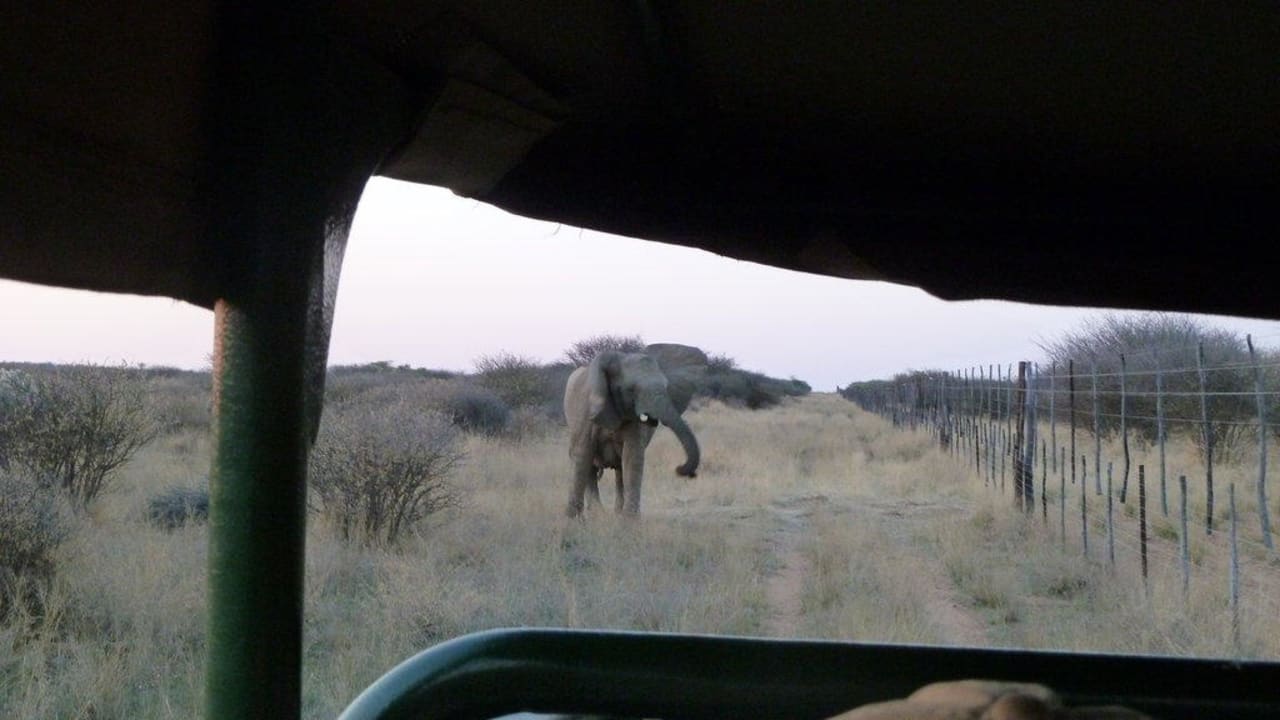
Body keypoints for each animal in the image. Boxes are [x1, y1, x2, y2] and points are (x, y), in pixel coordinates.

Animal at [563, 343, 707, 517]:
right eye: (631, 390)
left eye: (666, 387)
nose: (681, 469)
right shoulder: (586, 410)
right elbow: (583, 454)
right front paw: (572, 521)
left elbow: (632, 456)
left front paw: (629, 521)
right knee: (590, 466)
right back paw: (598, 514)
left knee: (620, 469)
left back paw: (616, 513)